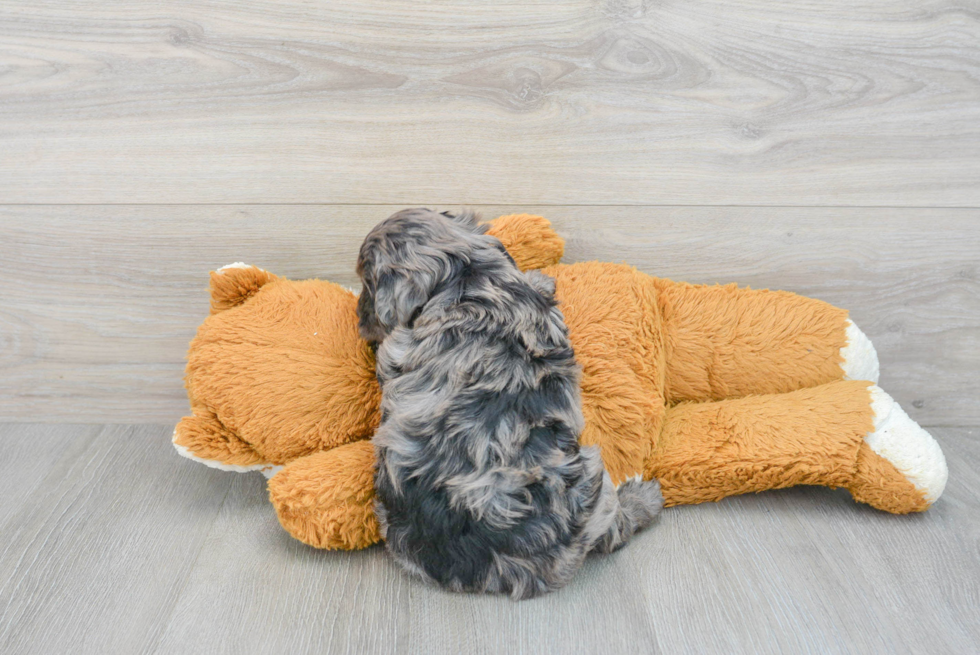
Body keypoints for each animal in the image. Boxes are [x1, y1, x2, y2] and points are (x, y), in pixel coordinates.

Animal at [356, 209, 664, 600]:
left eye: (366, 283)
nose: (357, 316)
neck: (461, 274)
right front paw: (541, 277)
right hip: (594, 485)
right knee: (613, 531)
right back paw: (644, 498)